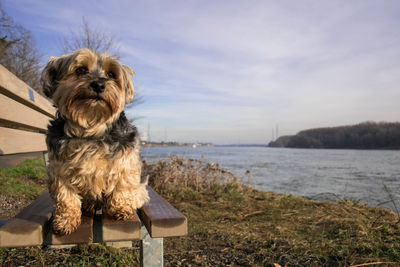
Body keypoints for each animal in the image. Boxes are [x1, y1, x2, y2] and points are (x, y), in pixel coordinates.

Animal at [41, 48, 149, 237]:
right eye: (81, 70)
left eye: (111, 74)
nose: (99, 85)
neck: (91, 129)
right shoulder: (58, 170)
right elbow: (66, 197)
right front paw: (65, 220)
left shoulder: (125, 163)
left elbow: (122, 186)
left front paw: (120, 209)